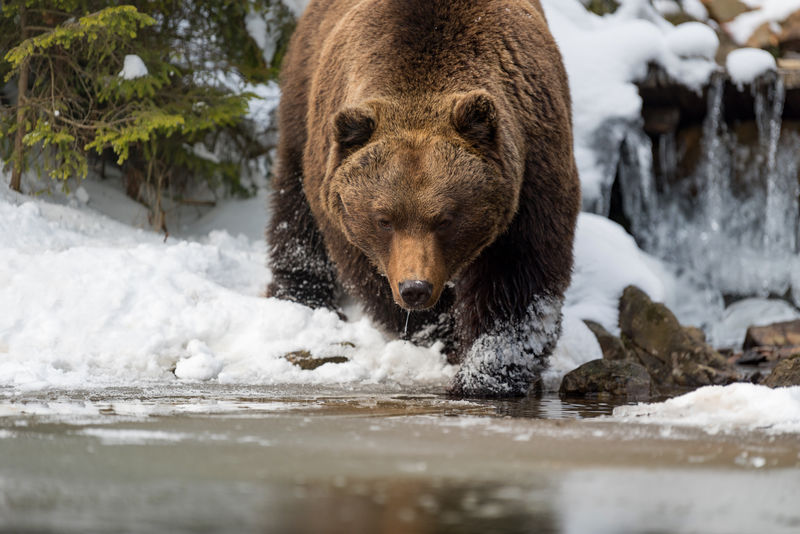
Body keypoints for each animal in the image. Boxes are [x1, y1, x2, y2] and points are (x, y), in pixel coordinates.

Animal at [268, 0, 580, 396]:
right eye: (383, 219)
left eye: (446, 219)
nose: (415, 288)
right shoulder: (345, 214)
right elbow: (371, 273)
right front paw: (442, 333)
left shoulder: (533, 174)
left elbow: (518, 277)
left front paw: (485, 374)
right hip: (303, 91)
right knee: (293, 205)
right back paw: (299, 293)